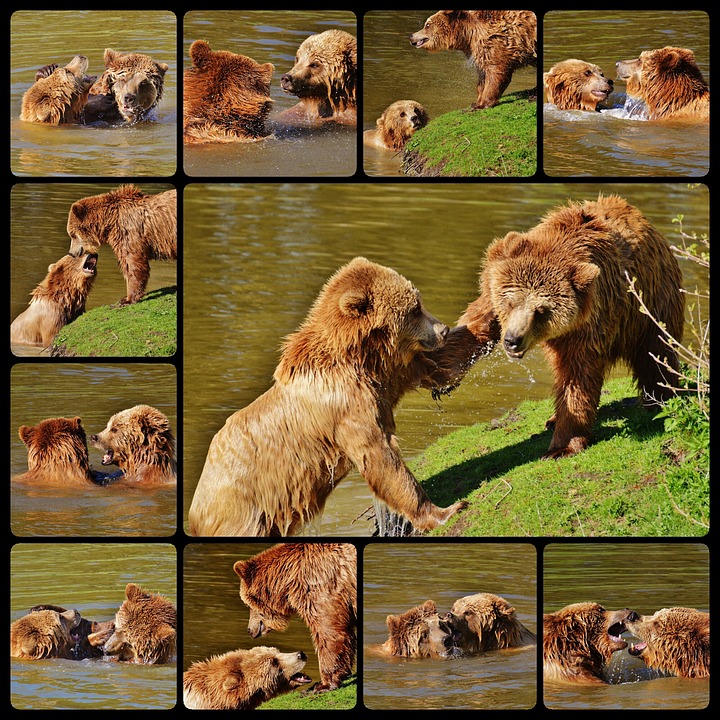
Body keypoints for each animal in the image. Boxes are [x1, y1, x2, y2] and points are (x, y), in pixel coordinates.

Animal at [188, 257, 467, 537]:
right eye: (415, 309)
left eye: (418, 303)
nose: (443, 329)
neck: (356, 357)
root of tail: (195, 511)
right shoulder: (347, 406)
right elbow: (380, 458)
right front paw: (447, 511)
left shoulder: (380, 380)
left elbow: (416, 370)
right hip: (244, 508)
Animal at [457, 195, 685, 459]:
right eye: (510, 301)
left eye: (541, 311)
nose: (513, 340)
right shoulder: (494, 287)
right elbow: (475, 323)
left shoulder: (587, 326)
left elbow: (576, 379)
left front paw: (561, 446)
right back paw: (553, 419)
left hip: (651, 305)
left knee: (656, 354)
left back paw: (661, 399)